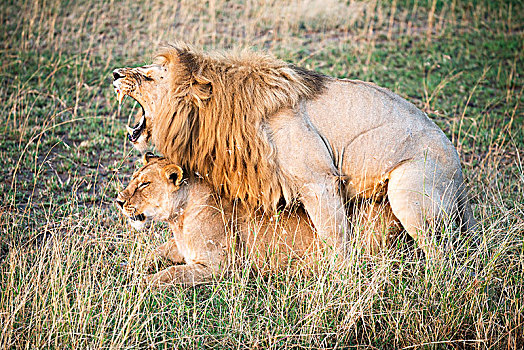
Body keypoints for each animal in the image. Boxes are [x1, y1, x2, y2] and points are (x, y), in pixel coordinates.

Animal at [112, 43, 476, 258]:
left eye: (148, 77)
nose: (115, 73)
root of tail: (459, 171)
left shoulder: (320, 181)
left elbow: (336, 240)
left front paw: (339, 284)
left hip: (410, 195)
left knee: (444, 257)